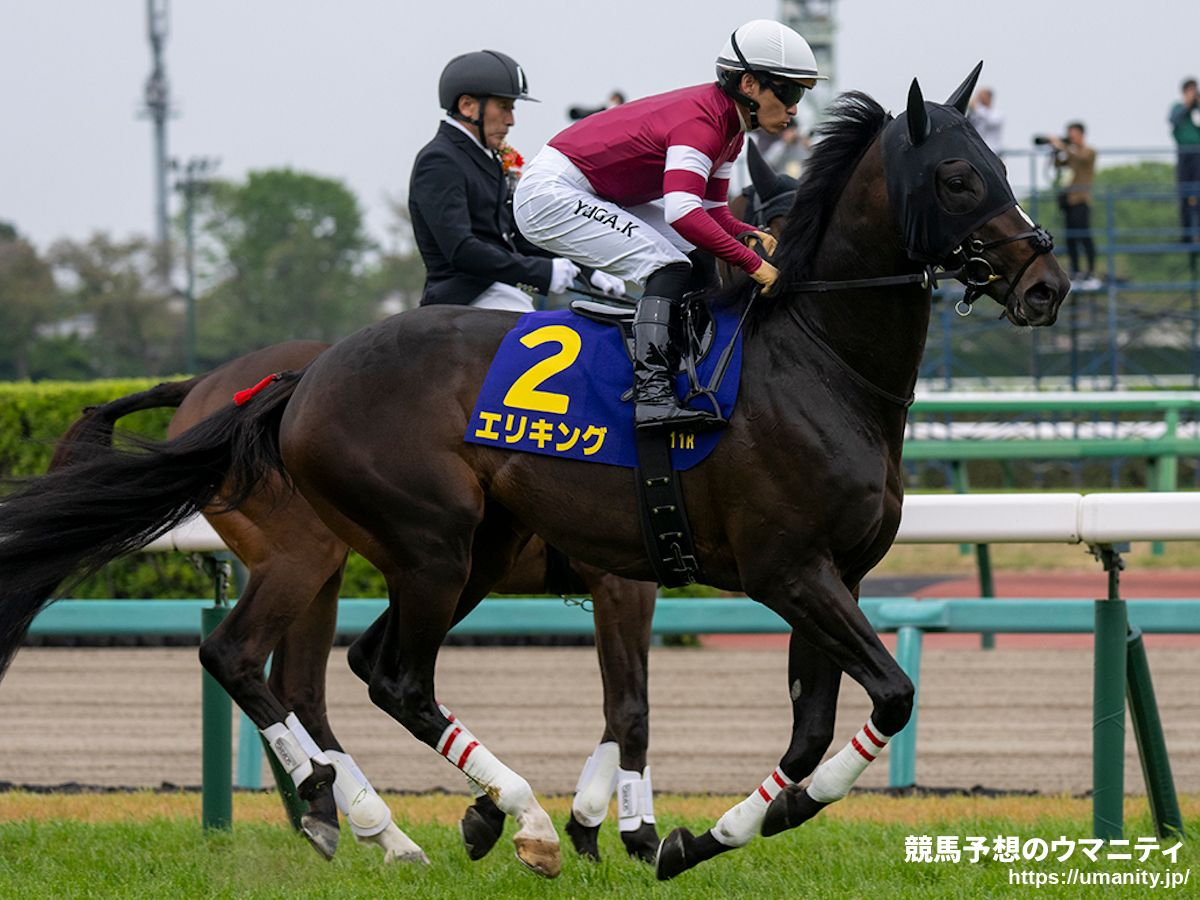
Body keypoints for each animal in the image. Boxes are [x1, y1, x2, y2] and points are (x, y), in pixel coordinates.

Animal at [48, 340, 660, 864]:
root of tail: (207, 382)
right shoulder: (622, 581)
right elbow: (628, 708)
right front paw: (623, 833)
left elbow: (620, 706)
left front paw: (567, 822)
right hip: (310, 555)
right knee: (246, 660)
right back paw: (359, 811)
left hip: (338, 570)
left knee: (300, 687)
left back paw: (359, 822)